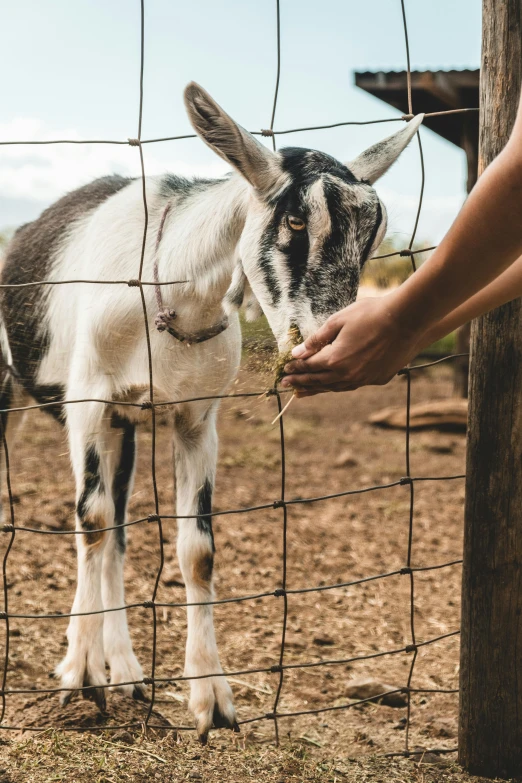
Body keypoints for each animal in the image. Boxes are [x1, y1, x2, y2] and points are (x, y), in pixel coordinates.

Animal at [0, 86, 420, 740]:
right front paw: (79, 677)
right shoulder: (88, 400)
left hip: (126, 426)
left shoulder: (197, 419)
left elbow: (195, 551)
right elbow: (89, 522)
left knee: (118, 531)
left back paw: (125, 670)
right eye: (296, 220)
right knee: (95, 523)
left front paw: (212, 700)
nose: (330, 339)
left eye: (371, 238)